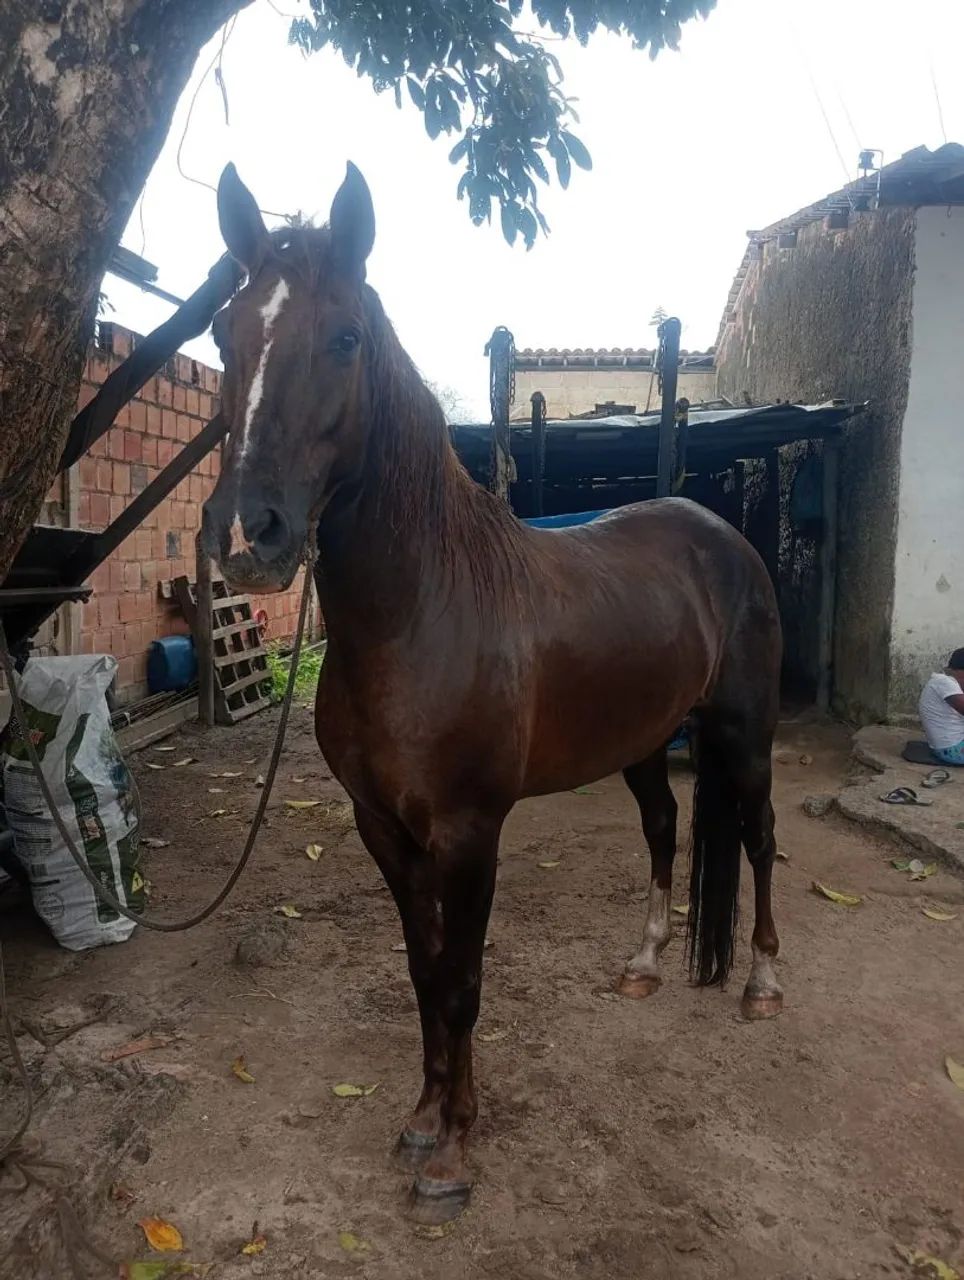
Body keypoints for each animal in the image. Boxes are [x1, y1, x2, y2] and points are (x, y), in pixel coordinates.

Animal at [201, 160, 784, 1224]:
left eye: (345, 338)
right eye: (226, 334)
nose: (243, 535)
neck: (421, 614)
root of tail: (720, 535)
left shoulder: (472, 833)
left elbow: (465, 982)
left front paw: (455, 1156)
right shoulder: (383, 831)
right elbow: (424, 974)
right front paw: (424, 1117)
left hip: (743, 735)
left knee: (758, 840)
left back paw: (762, 982)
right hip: (645, 743)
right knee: (666, 830)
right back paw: (644, 966)